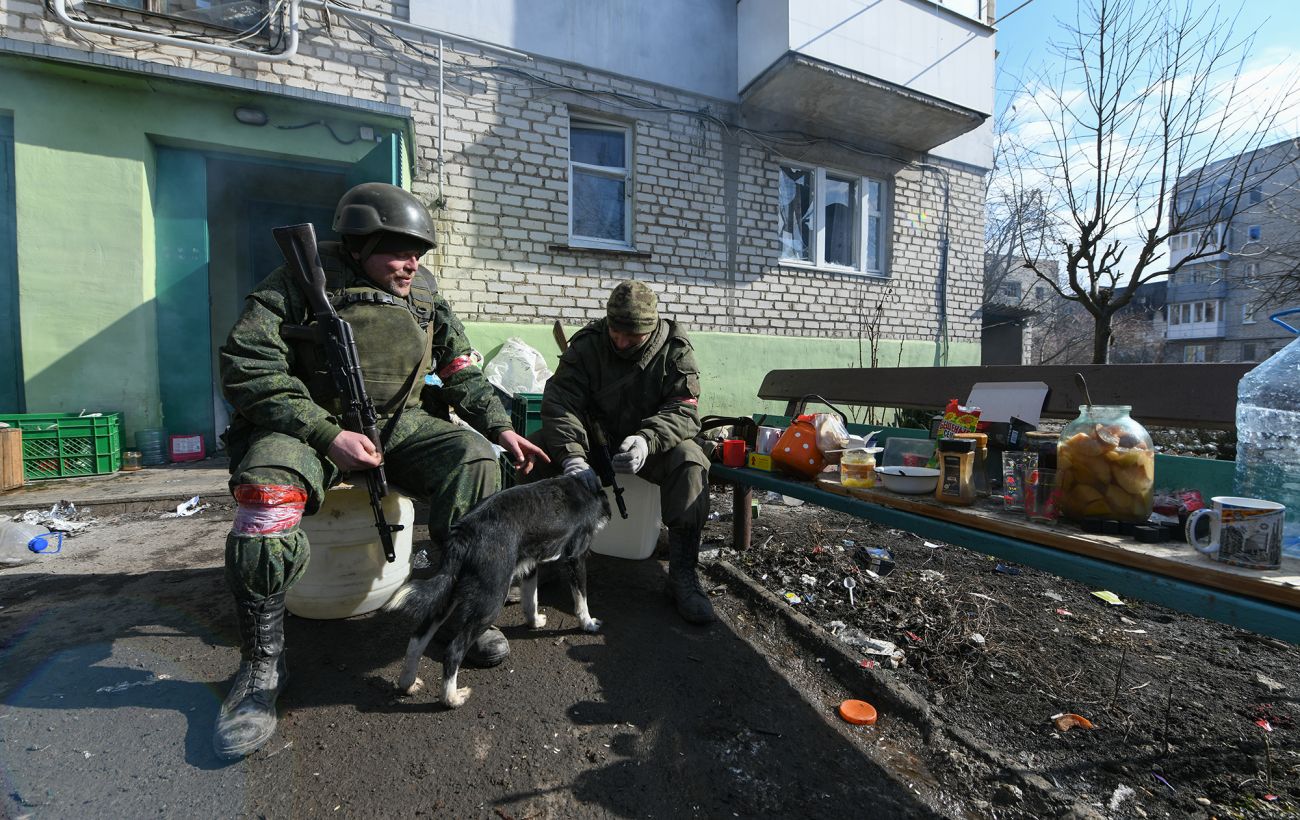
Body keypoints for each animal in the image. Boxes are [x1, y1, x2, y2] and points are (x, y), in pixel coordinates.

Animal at [382, 470, 611, 706]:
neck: (583, 484)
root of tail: (465, 531)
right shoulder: (577, 556)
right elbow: (581, 599)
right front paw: (587, 624)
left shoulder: (530, 564)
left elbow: (531, 599)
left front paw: (534, 622)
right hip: (491, 600)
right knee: (453, 651)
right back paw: (451, 698)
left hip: (448, 593)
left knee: (417, 638)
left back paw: (408, 683)